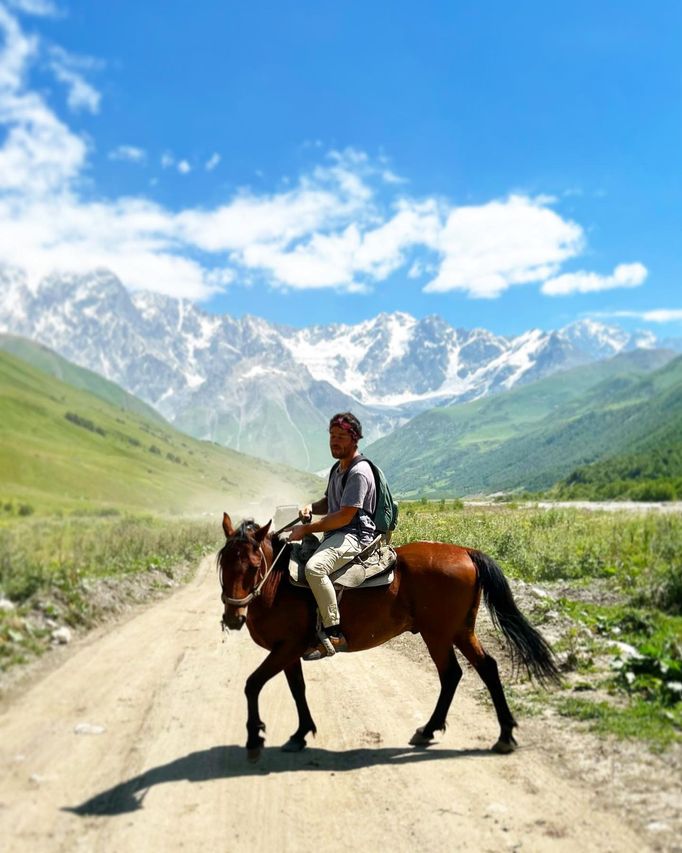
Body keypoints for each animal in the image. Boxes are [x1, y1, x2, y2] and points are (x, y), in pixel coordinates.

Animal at [218, 512, 556, 760]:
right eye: (224, 563)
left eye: (254, 566)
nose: (233, 618)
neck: (278, 585)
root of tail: (466, 552)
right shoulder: (288, 651)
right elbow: (297, 689)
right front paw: (300, 734)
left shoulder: (286, 647)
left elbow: (253, 684)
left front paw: (254, 737)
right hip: (460, 631)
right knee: (485, 668)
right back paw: (498, 734)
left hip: (438, 633)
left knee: (452, 674)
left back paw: (438, 730)